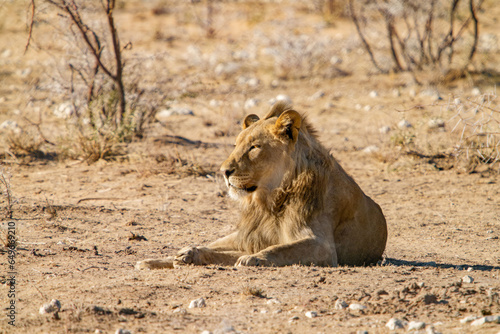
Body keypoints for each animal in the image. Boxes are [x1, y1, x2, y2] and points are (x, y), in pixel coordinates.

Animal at [137, 101, 386, 268]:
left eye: (254, 147)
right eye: (236, 144)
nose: (223, 171)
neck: (270, 199)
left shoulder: (322, 246)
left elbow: (278, 249)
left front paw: (252, 259)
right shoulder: (250, 235)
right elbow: (223, 251)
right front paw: (183, 255)